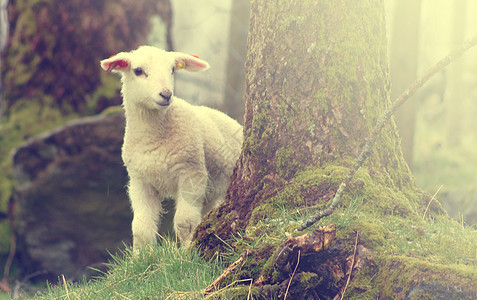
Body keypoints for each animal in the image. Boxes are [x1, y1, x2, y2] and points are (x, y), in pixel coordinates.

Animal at [100, 45, 242, 250]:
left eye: (173, 69)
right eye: (138, 71)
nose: (166, 94)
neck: (153, 140)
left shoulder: (192, 173)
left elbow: (185, 223)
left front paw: (188, 252)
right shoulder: (140, 181)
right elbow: (141, 228)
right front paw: (141, 256)